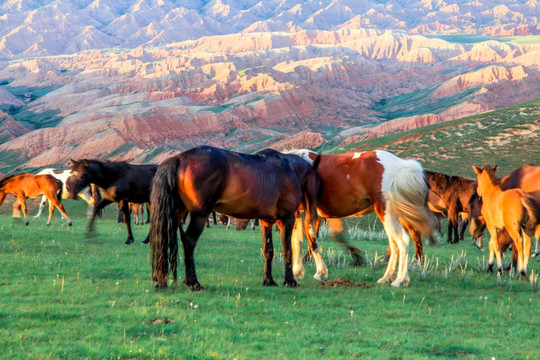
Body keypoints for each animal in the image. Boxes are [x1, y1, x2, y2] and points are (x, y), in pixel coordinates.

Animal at [150, 145, 318, 292]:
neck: (290, 168)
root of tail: (180, 158)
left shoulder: (265, 222)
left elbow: (268, 251)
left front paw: (268, 280)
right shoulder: (286, 219)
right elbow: (287, 250)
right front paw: (290, 281)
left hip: (176, 214)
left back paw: (162, 281)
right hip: (199, 215)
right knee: (189, 241)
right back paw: (193, 283)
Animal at [286, 149, 434, 286]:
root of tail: (401, 165)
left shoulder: (308, 214)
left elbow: (312, 241)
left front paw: (320, 272)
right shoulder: (298, 214)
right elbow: (296, 242)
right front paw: (297, 272)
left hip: (386, 214)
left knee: (402, 242)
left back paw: (400, 280)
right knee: (395, 245)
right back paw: (387, 277)